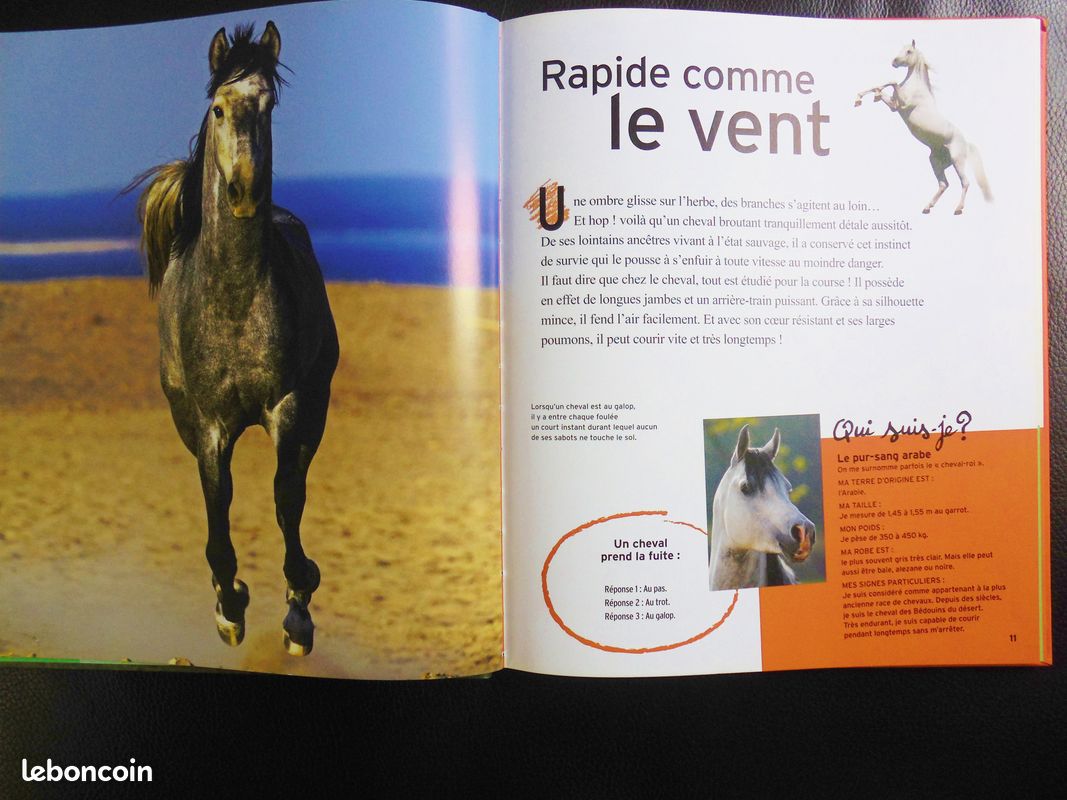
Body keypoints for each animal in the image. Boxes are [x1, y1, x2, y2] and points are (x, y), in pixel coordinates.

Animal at [129, 22, 338, 656]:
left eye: (268, 107)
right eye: (219, 108)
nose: (244, 189)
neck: (234, 299)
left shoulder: (287, 406)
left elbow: (286, 498)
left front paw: (297, 612)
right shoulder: (207, 425)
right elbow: (217, 504)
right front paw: (230, 607)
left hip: (315, 406)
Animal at [854, 40, 991, 215]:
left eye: (909, 51)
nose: (894, 62)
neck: (916, 86)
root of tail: (966, 143)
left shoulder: (904, 104)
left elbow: (892, 81)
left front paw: (873, 96)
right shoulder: (894, 106)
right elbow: (879, 86)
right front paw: (862, 98)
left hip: (957, 160)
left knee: (965, 182)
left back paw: (958, 209)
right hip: (935, 161)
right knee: (943, 184)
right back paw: (927, 208)